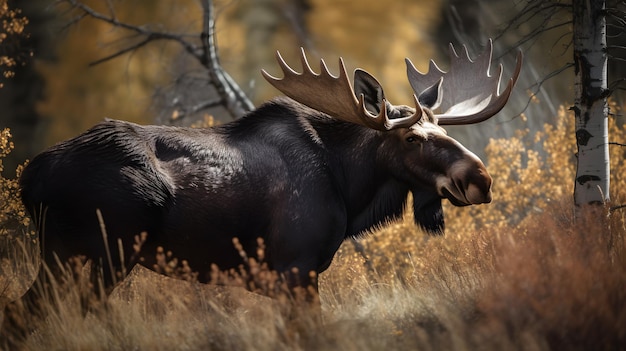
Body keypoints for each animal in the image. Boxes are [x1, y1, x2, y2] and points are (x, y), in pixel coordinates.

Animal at [19, 40, 520, 290]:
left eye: (446, 132)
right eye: (413, 137)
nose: (481, 179)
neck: (349, 187)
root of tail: (30, 176)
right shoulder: (294, 266)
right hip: (96, 253)